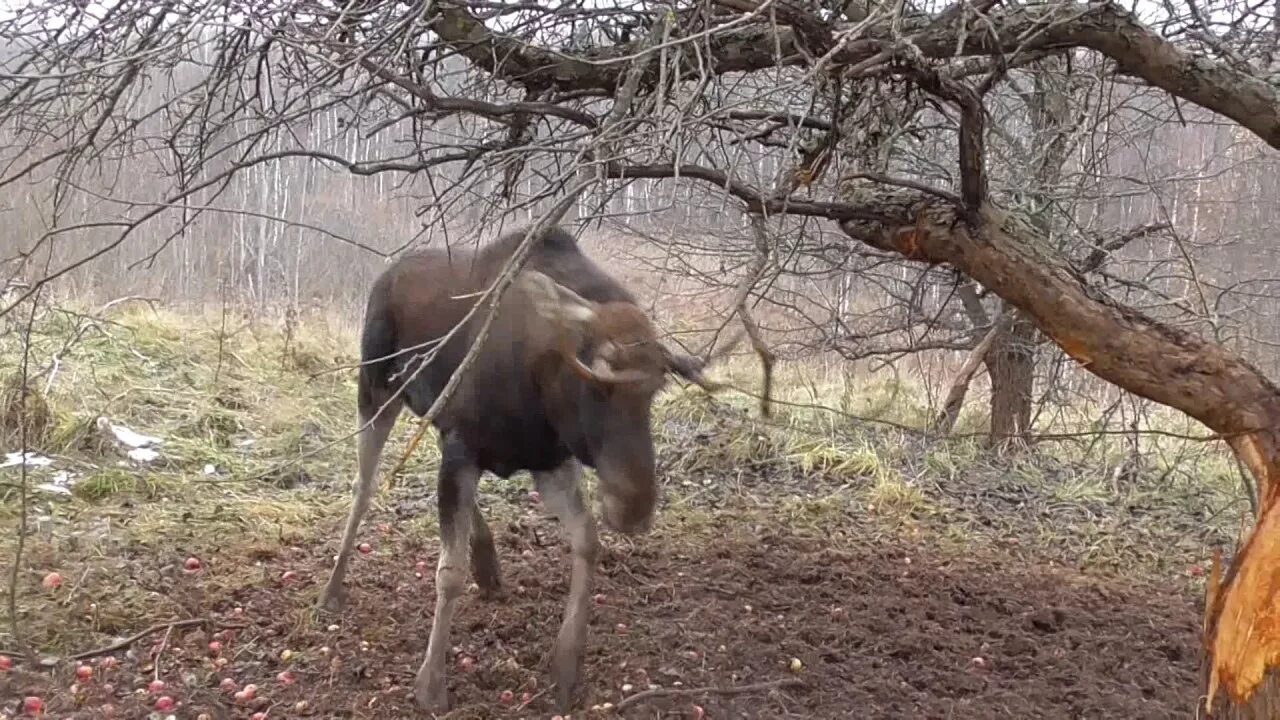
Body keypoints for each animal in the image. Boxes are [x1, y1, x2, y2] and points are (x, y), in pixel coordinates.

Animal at [318, 221, 737, 707]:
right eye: (597, 385)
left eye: (654, 391)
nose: (634, 507)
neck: (540, 390)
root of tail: (386, 272)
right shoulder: (464, 447)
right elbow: (448, 573)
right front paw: (431, 684)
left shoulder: (545, 461)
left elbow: (587, 540)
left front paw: (567, 665)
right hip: (376, 390)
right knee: (363, 488)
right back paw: (332, 588)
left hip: (435, 420)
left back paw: (487, 564)